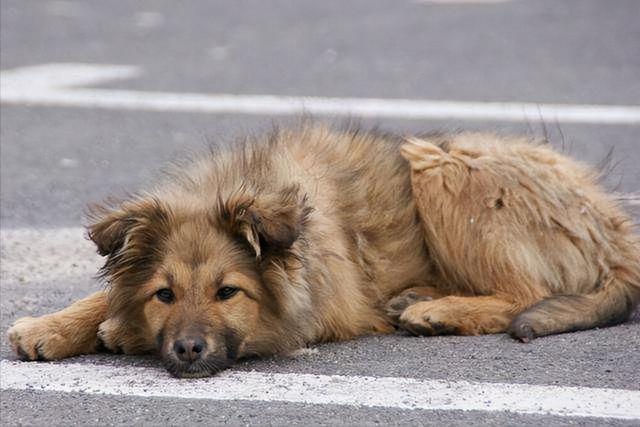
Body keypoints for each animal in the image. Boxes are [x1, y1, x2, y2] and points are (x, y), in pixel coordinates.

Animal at [6, 123, 640, 378]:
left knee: (528, 290)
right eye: (164, 294)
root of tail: (612, 223)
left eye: (227, 292)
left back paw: (436, 311)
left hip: (442, 166)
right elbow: (105, 293)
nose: (187, 350)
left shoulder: (323, 309)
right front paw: (54, 326)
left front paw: (115, 329)